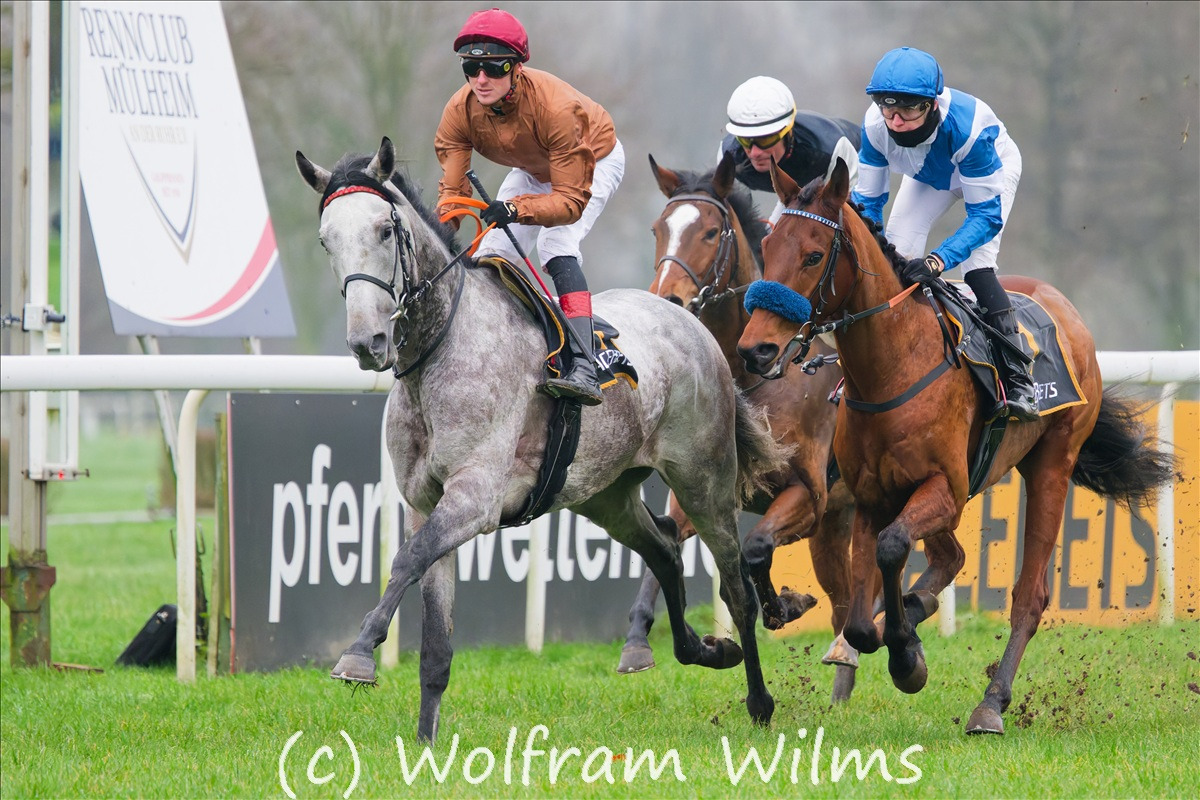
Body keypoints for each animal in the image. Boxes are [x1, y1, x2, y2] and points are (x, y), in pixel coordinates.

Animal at [295, 137, 792, 743]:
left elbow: (406, 560)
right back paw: (700, 649)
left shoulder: (475, 499)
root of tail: (695, 326)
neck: (442, 351)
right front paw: (425, 741)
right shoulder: (426, 504)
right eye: (326, 240)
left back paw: (759, 700)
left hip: (705, 480)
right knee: (666, 549)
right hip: (607, 496)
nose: (368, 342)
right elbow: (434, 635)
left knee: (736, 587)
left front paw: (360, 654)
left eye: (385, 230)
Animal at [616, 151, 859, 703]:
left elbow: (756, 549)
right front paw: (638, 642)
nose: (668, 299)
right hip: (834, 525)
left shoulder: (807, 496)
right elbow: (669, 544)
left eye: (710, 232)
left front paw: (782, 606)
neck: (752, 376)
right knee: (841, 594)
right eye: (659, 228)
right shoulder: (697, 491)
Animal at [735, 156, 1175, 735]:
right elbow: (858, 619)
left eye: (812, 255)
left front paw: (906, 657)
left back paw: (990, 703)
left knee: (1029, 595)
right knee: (949, 558)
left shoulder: (942, 487)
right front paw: (889, 634)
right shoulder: (870, 497)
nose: (755, 349)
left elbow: (892, 550)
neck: (893, 368)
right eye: (765, 247)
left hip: (1052, 462)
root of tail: (1064, 308)